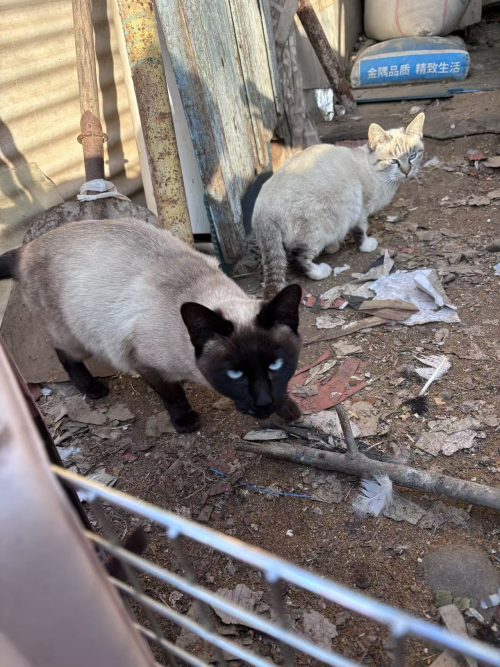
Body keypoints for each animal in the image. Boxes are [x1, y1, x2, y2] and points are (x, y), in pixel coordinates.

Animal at [0, 218, 302, 432]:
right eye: (235, 374)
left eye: (276, 365)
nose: (264, 403)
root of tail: (28, 248)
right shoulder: (146, 364)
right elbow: (172, 395)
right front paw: (185, 422)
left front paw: (287, 408)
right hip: (75, 338)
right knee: (64, 354)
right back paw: (93, 389)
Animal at [253, 112, 425, 297]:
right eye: (393, 161)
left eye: (412, 156)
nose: (406, 171)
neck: (379, 174)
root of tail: (261, 208)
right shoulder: (360, 208)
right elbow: (361, 230)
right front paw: (367, 246)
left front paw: (333, 247)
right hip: (316, 230)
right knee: (296, 257)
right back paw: (320, 271)